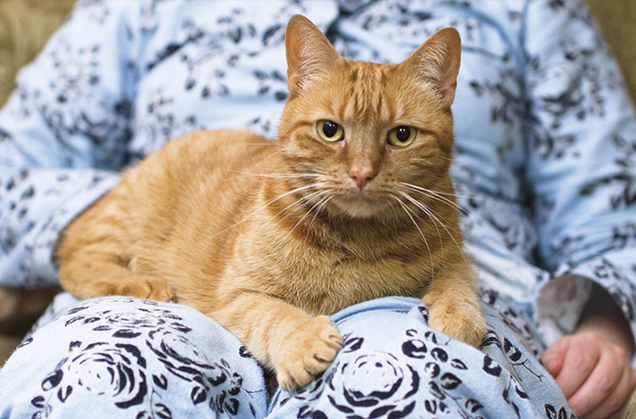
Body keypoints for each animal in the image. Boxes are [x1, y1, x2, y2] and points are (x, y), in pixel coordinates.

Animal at [57, 15, 490, 390]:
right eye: (330, 130)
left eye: (402, 136)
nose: (362, 173)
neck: (358, 241)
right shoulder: (238, 296)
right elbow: (274, 314)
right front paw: (304, 341)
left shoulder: (453, 255)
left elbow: (458, 279)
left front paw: (458, 317)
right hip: (123, 222)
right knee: (75, 261)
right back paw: (144, 284)